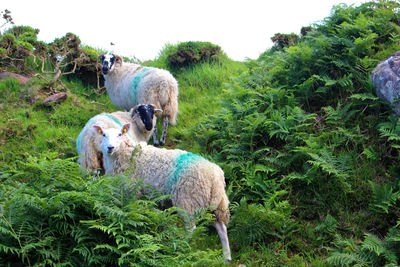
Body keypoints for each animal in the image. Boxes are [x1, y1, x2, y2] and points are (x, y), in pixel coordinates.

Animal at [95, 124, 233, 262]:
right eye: (104, 135)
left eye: (120, 134)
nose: (110, 147)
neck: (128, 155)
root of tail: (216, 178)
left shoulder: (131, 191)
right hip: (217, 204)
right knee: (221, 228)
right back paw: (226, 257)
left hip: (188, 200)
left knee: (191, 228)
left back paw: (183, 247)